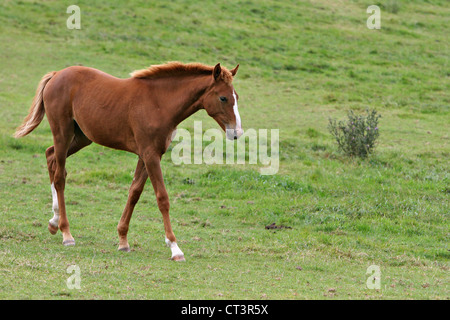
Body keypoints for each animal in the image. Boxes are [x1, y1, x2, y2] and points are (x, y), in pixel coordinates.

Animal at [14, 61, 243, 262]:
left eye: (237, 97)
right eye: (223, 98)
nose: (237, 133)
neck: (160, 103)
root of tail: (57, 74)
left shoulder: (149, 155)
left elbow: (134, 193)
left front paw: (123, 240)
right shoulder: (150, 155)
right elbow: (162, 198)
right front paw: (175, 248)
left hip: (82, 137)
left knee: (50, 156)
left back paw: (53, 221)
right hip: (62, 132)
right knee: (60, 176)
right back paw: (65, 232)